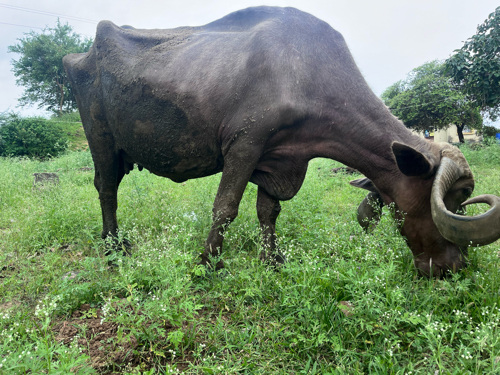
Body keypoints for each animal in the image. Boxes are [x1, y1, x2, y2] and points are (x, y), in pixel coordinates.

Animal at [63, 5, 500, 276]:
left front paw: (272, 260)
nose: (454, 267)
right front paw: (207, 263)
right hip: (101, 140)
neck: (307, 74)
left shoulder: (280, 160)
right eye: (453, 201)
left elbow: (267, 212)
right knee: (106, 189)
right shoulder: (244, 145)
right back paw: (112, 247)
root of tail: (78, 57)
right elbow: (225, 208)